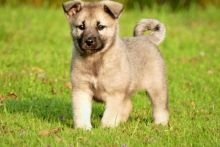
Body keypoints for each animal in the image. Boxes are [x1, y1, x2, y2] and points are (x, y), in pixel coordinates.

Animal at [62, 0, 169, 129]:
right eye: (81, 27)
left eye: (100, 27)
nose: (89, 41)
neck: (95, 59)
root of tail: (147, 39)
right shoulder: (81, 90)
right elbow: (81, 111)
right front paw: (83, 128)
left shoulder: (115, 94)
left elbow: (110, 114)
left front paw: (106, 128)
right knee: (128, 105)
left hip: (156, 87)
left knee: (160, 108)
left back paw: (160, 124)